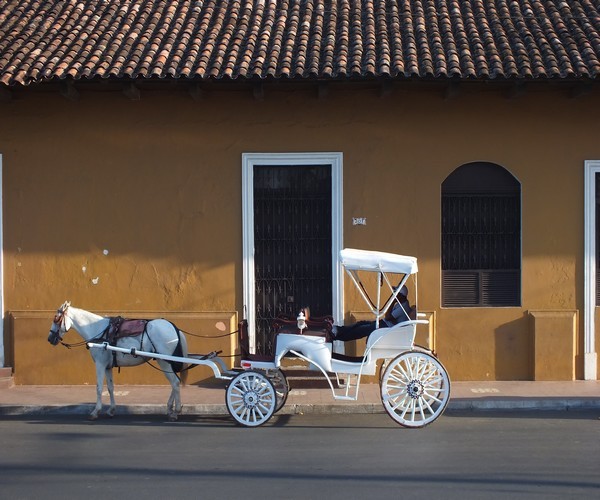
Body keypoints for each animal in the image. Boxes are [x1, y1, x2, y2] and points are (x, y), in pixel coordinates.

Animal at [47, 300, 188, 422]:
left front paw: (95, 411)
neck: (97, 330)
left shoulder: (100, 364)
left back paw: (175, 411)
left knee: (175, 383)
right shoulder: (108, 366)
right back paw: (170, 409)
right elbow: (110, 387)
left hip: (164, 361)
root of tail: (174, 328)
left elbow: (99, 387)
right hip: (166, 362)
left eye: (56, 319)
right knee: (175, 382)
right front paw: (111, 410)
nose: (50, 338)